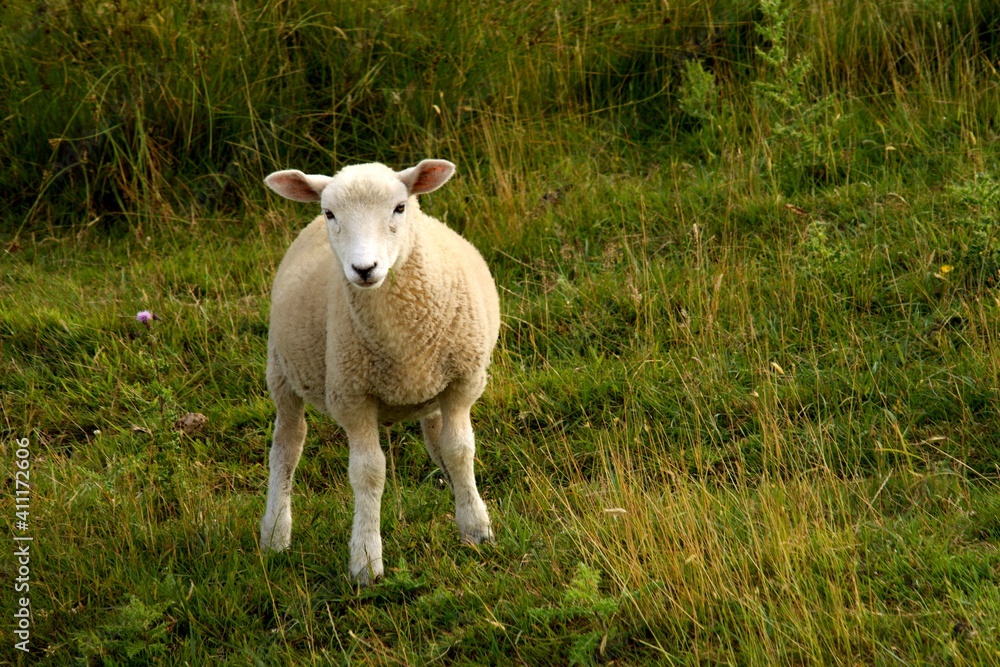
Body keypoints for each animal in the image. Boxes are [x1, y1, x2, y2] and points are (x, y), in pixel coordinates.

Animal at [258, 159, 500, 585]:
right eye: (330, 213)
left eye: (400, 207)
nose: (364, 268)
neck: (400, 338)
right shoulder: (352, 397)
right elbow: (368, 473)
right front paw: (366, 561)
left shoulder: (461, 383)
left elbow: (458, 450)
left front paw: (475, 526)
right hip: (282, 371)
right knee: (287, 446)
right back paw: (275, 533)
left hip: (429, 386)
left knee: (436, 435)